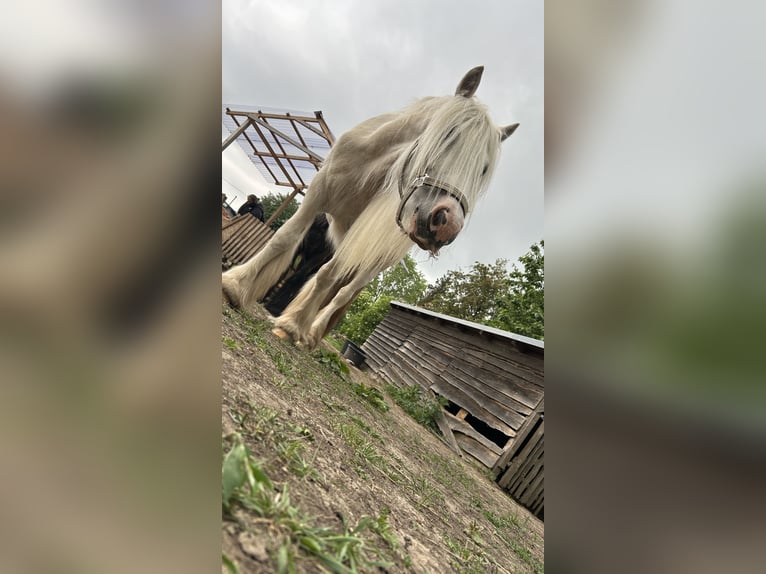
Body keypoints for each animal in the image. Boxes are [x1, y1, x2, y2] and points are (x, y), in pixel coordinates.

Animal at [224, 65, 520, 348]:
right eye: (449, 135)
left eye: (483, 169)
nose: (447, 224)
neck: (368, 163)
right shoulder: (318, 194)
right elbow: (283, 239)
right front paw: (235, 286)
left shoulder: (359, 234)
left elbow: (329, 275)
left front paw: (293, 325)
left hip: (376, 261)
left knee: (342, 290)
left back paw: (311, 332)